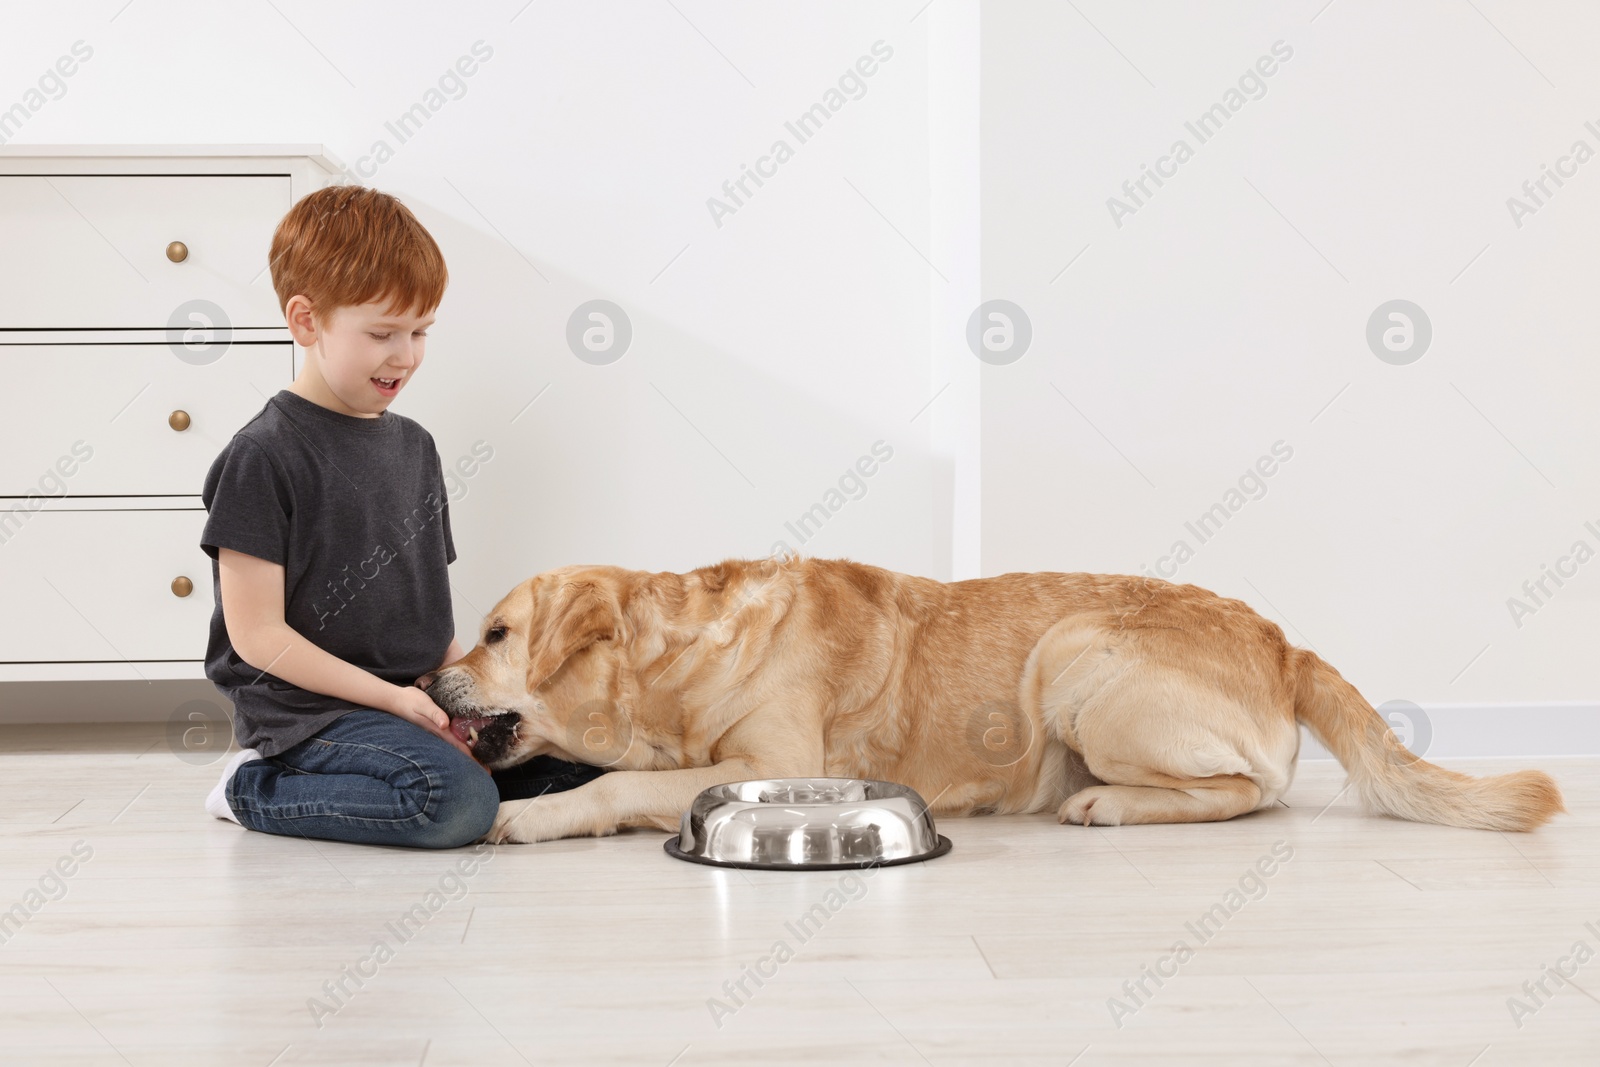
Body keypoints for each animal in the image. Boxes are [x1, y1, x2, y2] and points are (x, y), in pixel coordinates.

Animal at [419, 556, 1568, 844]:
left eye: (495, 632)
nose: (425, 678)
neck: (681, 663)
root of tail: (1283, 643)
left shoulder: (778, 760)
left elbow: (615, 782)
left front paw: (537, 813)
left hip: (1069, 654)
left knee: (1251, 790)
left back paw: (1106, 802)